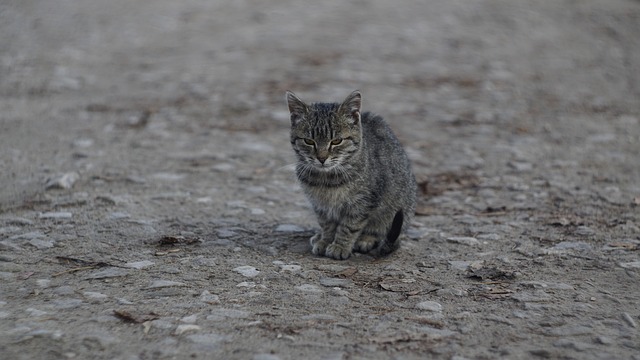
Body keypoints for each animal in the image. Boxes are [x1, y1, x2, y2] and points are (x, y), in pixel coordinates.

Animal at [286, 89, 418, 258]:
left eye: (336, 141)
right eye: (309, 141)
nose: (321, 158)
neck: (327, 179)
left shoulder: (362, 202)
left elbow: (349, 226)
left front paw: (340, 246)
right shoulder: (320, 205)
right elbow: (327, 224)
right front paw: (325, 240)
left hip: (397, 209)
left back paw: (366, 239)